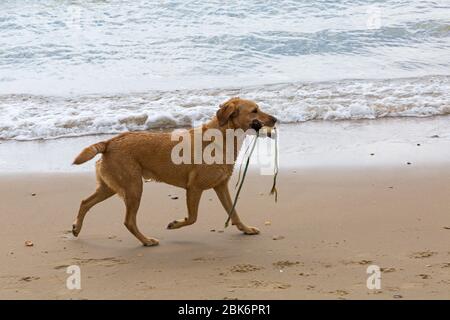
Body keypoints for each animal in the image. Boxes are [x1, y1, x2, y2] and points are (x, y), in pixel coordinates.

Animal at [71, 97, 276, 245]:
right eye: (254, 110)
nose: (276, 119)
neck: (222, 137)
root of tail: (109, 143)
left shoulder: (221, 186)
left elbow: (234, 212)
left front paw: (246, 229)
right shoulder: (194, 188)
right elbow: (193, 217)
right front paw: (176, 224)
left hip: (111, 187)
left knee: (85, 202)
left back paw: (76, 228)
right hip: (134, 188)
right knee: (129, 221)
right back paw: (146, 241)